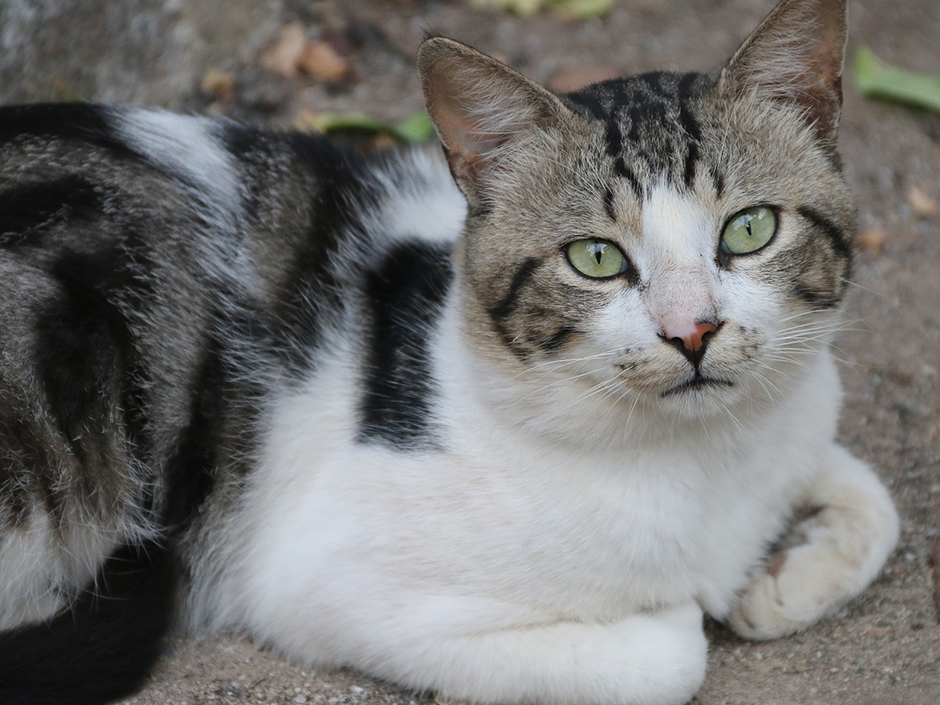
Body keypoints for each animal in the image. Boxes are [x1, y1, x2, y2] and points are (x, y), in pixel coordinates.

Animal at [0, 0, 900, 700]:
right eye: (595, 257)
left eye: (750, 229)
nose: (693, 331)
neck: (706, 458)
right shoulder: (324, 578)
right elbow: (672, 654)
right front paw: (690, 603)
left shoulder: (802, 409)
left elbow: (873, 495)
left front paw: (783, 581)